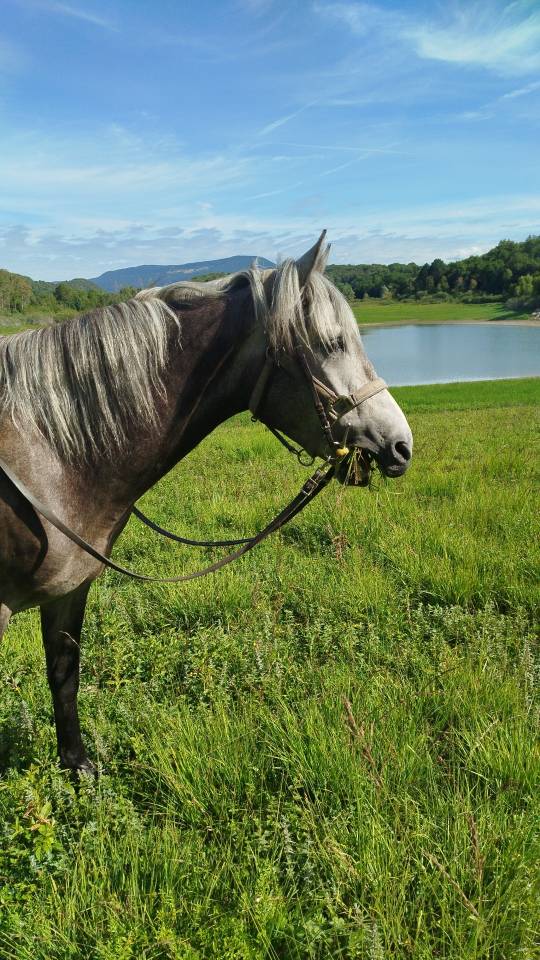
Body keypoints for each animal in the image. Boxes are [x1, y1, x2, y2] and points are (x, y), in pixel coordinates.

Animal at [0, 233, 412, 773]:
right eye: (332, 343)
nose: (401, 446)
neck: (48, 454)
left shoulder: (69, 592)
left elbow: (64, 676)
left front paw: (78, 769)